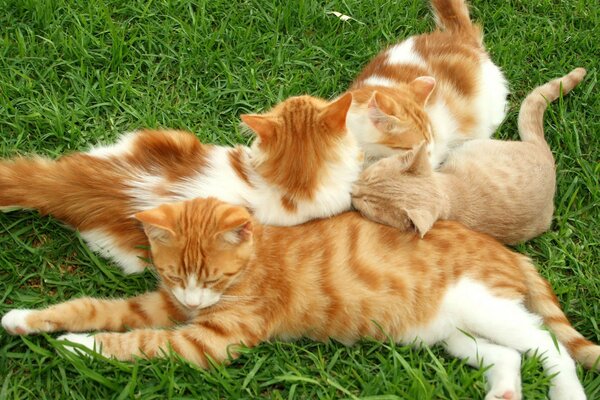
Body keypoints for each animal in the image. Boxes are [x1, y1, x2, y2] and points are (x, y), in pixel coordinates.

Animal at [2, 197, 596, 400]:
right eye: (173, 273)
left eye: (213, 277)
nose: (194, 296)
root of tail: (508, 252)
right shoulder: (166, 304)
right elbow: (94, 307)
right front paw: (26, 319)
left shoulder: (207, 341)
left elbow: (137, 343)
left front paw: (78, 347)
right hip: (447, 331)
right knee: (507, 355)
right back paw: (504, 392)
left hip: (483, 304)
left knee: (548, 346)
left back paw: (566, 392)